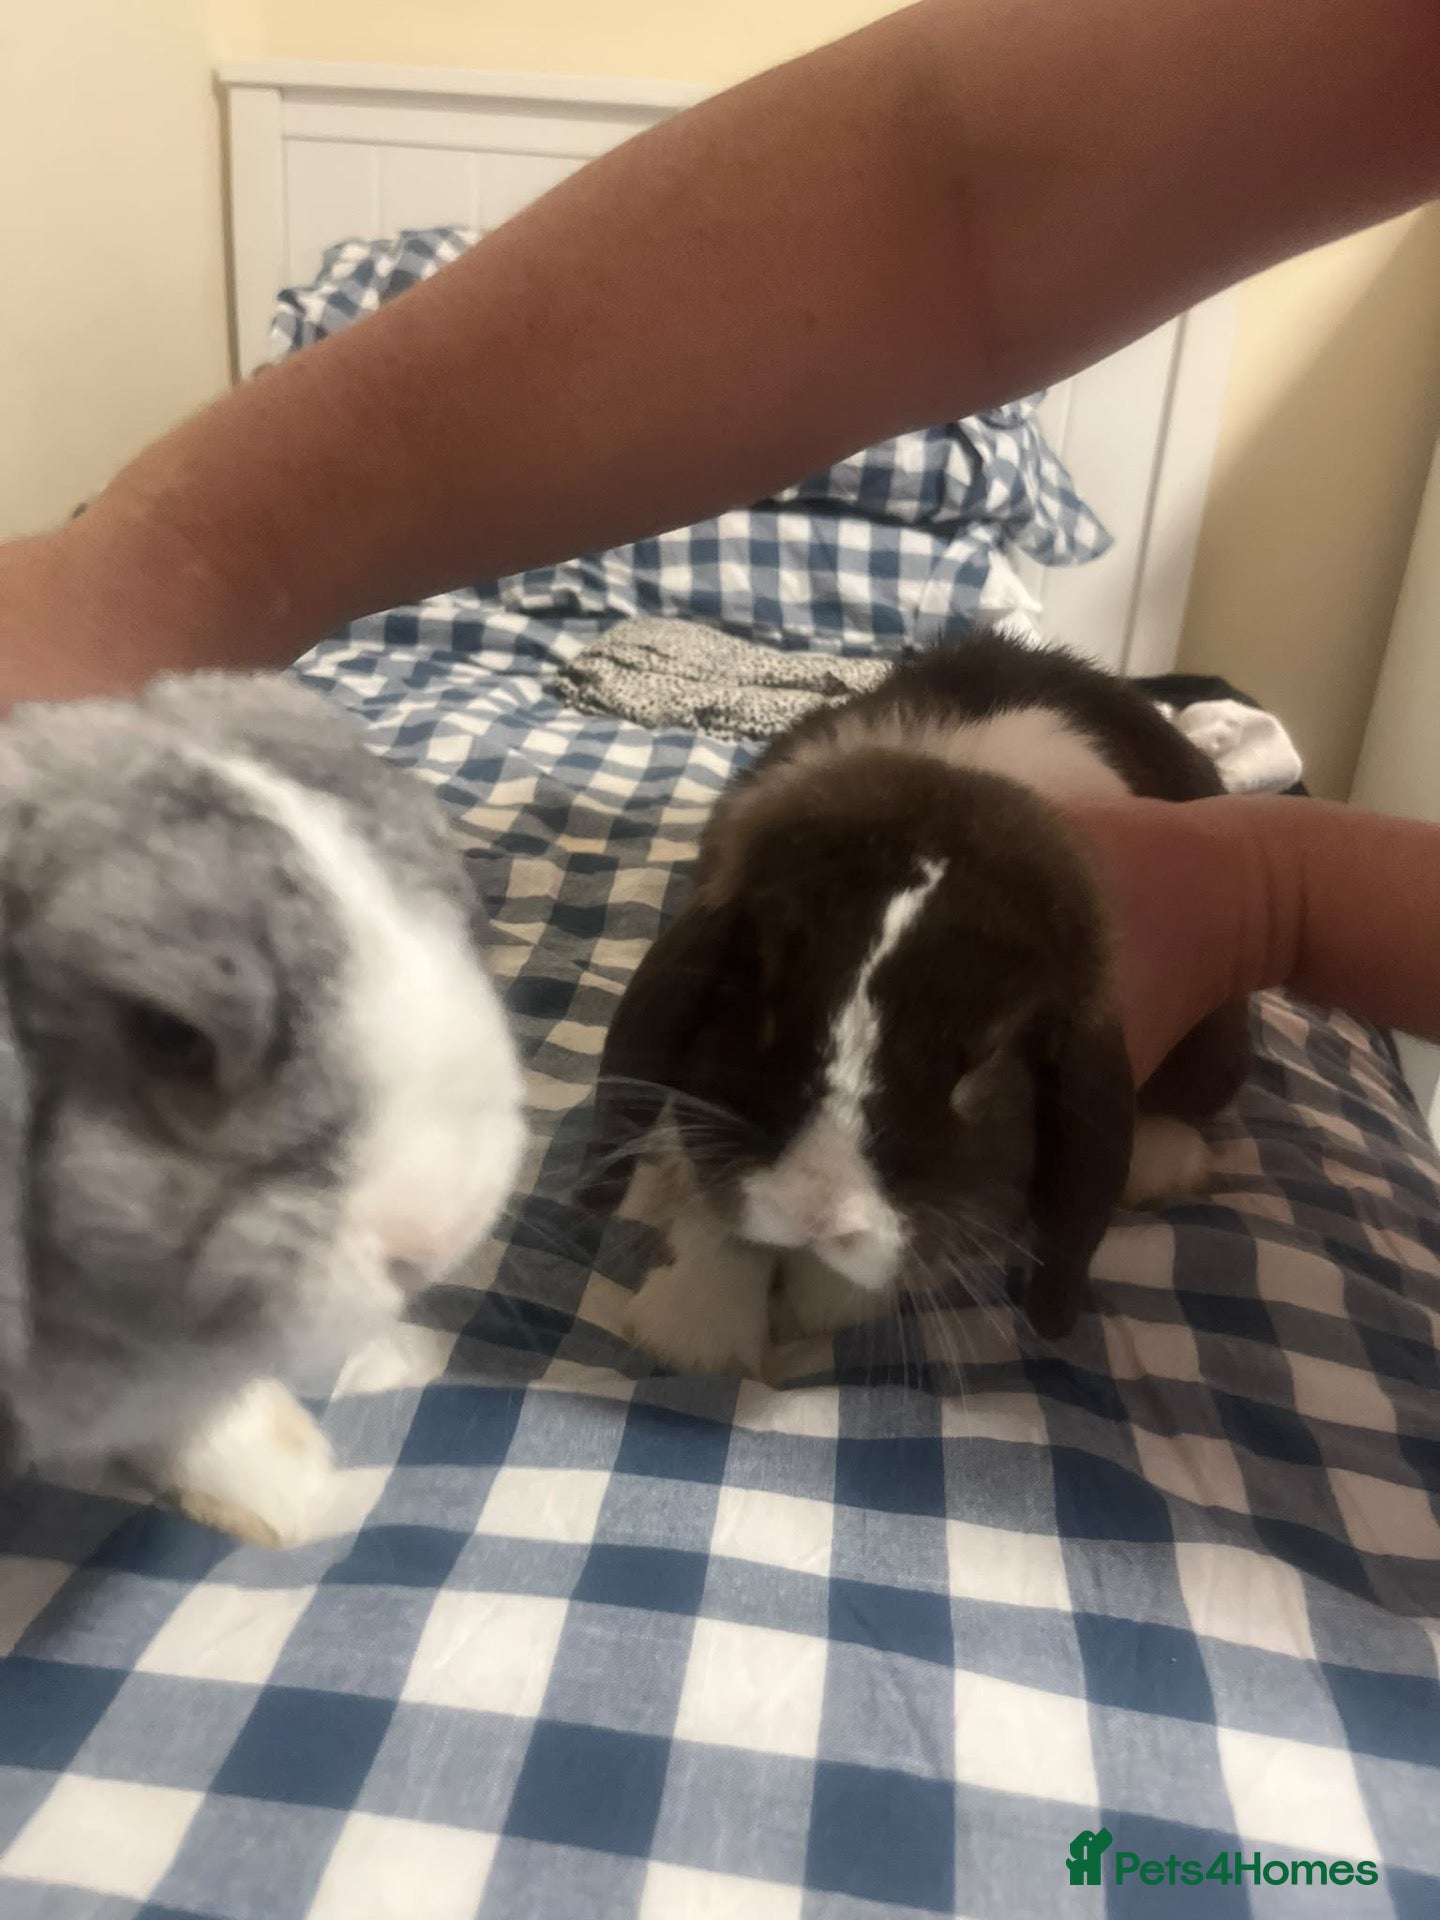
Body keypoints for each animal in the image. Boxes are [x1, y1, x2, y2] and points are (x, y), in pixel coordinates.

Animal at [587, 627, 1249, 1378]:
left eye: (985, 1066)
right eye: (761, 991)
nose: (814, 1212)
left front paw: (820, 1305)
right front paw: (693, 1328)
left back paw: (1162, 1163)